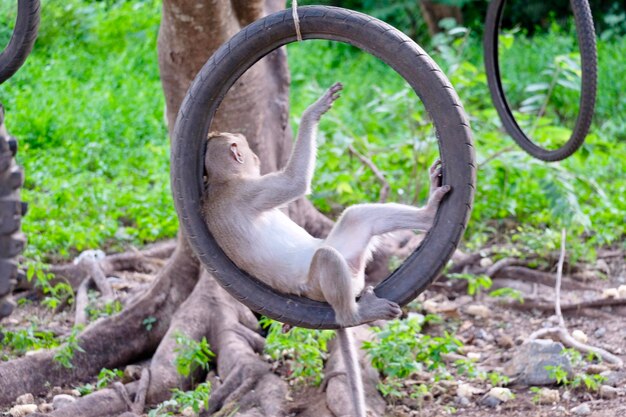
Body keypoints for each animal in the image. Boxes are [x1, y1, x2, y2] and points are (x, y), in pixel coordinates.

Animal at [202, 82, 450, 416]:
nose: (255, 156)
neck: (222, 184)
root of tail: (355, 277)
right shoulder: (251, 191)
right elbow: (295, 183)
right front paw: (313, 112)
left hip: (351, 256)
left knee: (356, 217)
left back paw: (427, 214)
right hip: (318, 284)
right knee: (327, 258)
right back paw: (353, 315)